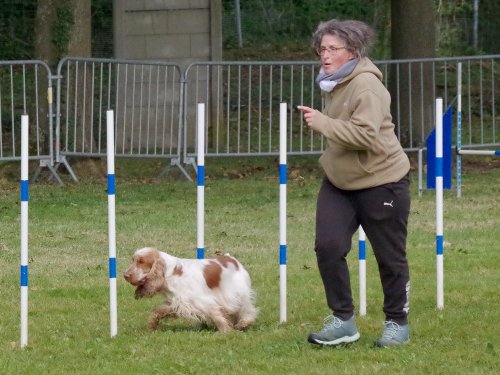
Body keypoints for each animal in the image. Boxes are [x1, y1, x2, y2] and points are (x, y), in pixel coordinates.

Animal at [124, 248, 258, 334]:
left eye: (141, 262)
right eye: (133, 260)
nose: (125, 276)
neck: (169, 273)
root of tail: (231, 258)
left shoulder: (203, 301)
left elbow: (216, 315)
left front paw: (226, 331)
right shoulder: (177, 302)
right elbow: (157, 311)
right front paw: (151, 326)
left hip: (238, 293)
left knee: (248, 309)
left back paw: (244, 323)